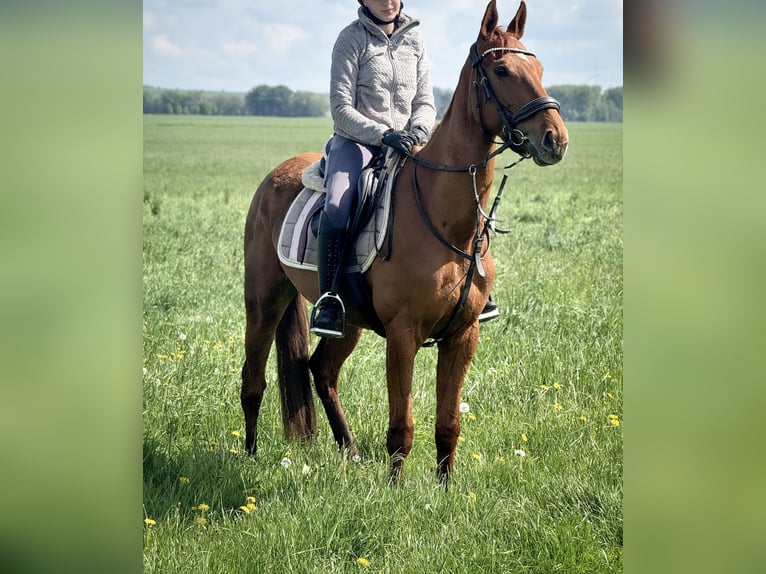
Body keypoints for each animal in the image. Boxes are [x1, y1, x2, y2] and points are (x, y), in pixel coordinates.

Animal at [241, 0, 568, 485]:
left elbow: (447, 423)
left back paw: (351, 453)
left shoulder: (463, 336)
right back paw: (246, 458)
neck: (447, 223)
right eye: (503, 70)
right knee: (253, 380)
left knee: (321, 371)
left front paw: (446, 490)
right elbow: (402, 425)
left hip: (347, 320)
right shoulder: (402, 334)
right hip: (264, 300)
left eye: (541, 68)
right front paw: (394, 492)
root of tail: (274, 177)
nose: (555, 139)